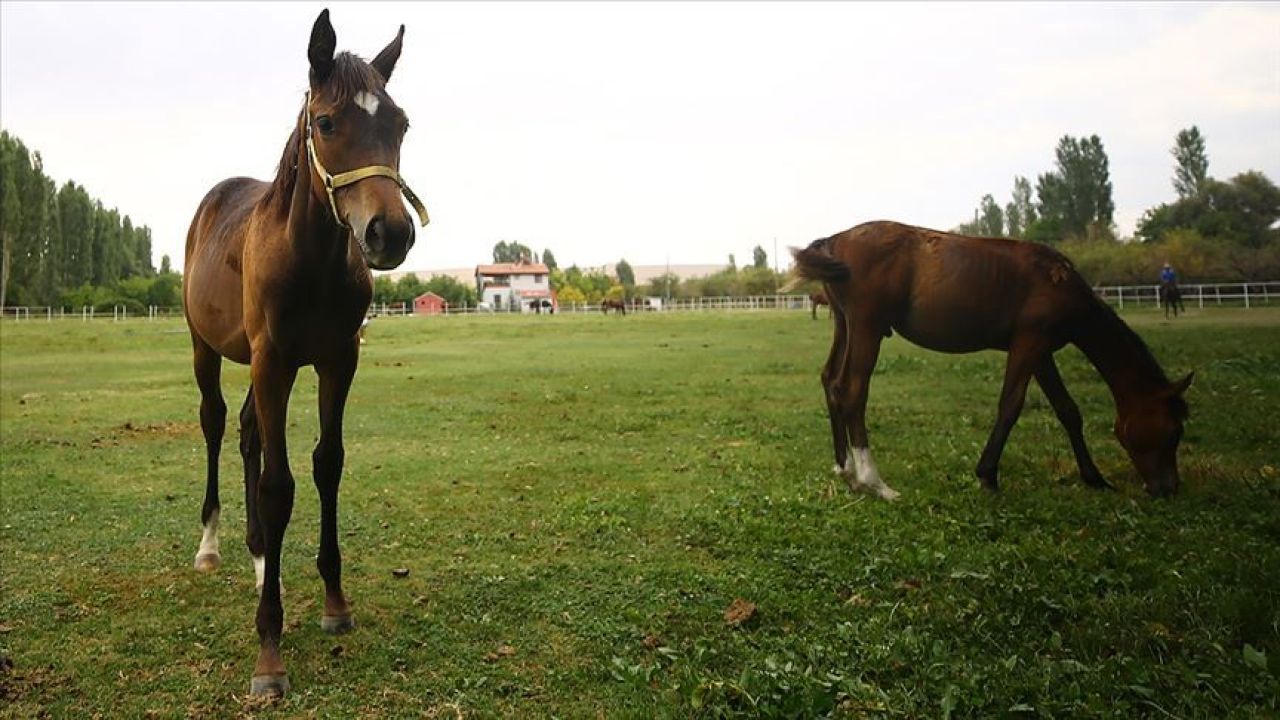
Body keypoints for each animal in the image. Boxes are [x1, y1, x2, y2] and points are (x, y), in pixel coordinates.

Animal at [183, 9, 427, 696]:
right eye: (326, 123)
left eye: (399, 123)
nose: (390, 233)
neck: (312, 258)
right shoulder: (273, 363)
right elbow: (278, 484)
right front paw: (269, 651)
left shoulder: (336, 361)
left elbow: (327, 465)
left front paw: (334, 603)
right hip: (208, 349)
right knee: (216, 424)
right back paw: (212, 546)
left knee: (245, 431)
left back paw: (261, 559)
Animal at [793, 220, 1192, 499]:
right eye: (1174, 431)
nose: (1167, 488)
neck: (1059, 281)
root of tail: (836, 240)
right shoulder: (1029, 344)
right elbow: (1010, 406)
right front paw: (987, 475)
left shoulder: (1042, 353)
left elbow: (1068, 411)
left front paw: (1094, 477)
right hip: (867, 328)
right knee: (853, 389)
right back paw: (874, 481)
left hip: (845, 324)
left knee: (832, 382)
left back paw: (845, 469)